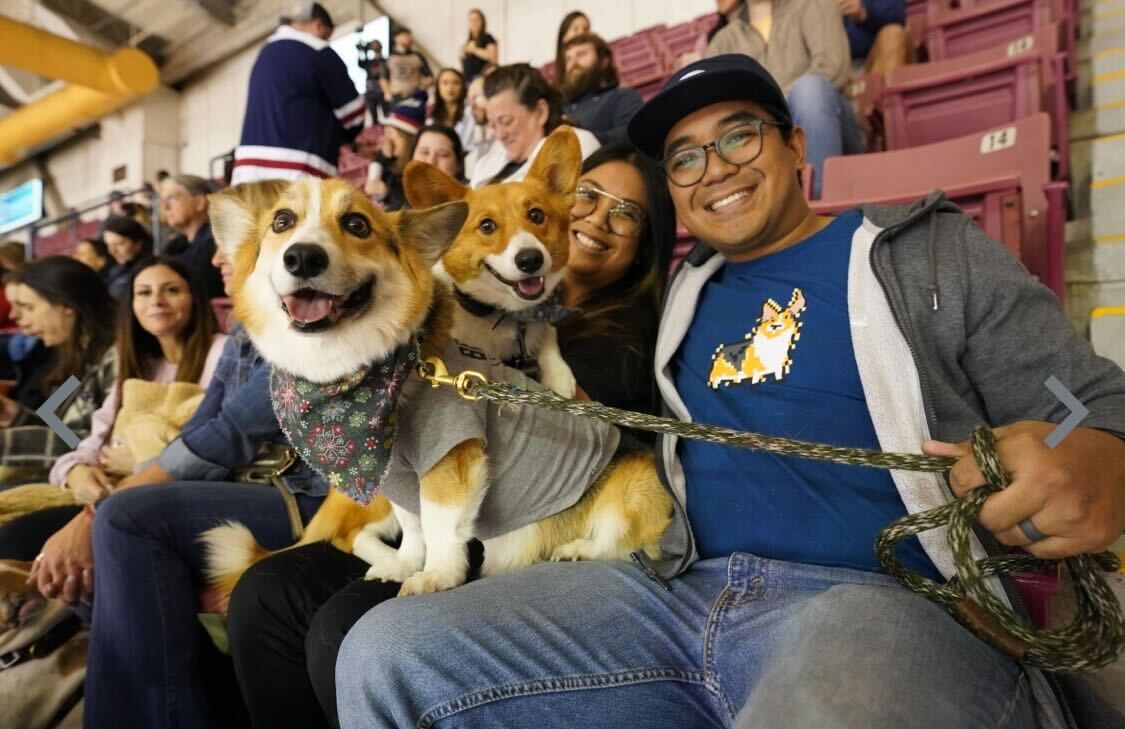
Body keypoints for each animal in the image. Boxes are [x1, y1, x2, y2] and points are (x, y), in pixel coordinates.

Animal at [405, 126, 580, 398]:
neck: (508, 314)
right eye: (487, 226)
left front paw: (558, 375)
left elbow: (549, 331)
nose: (530, 259)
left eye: (536, 215)